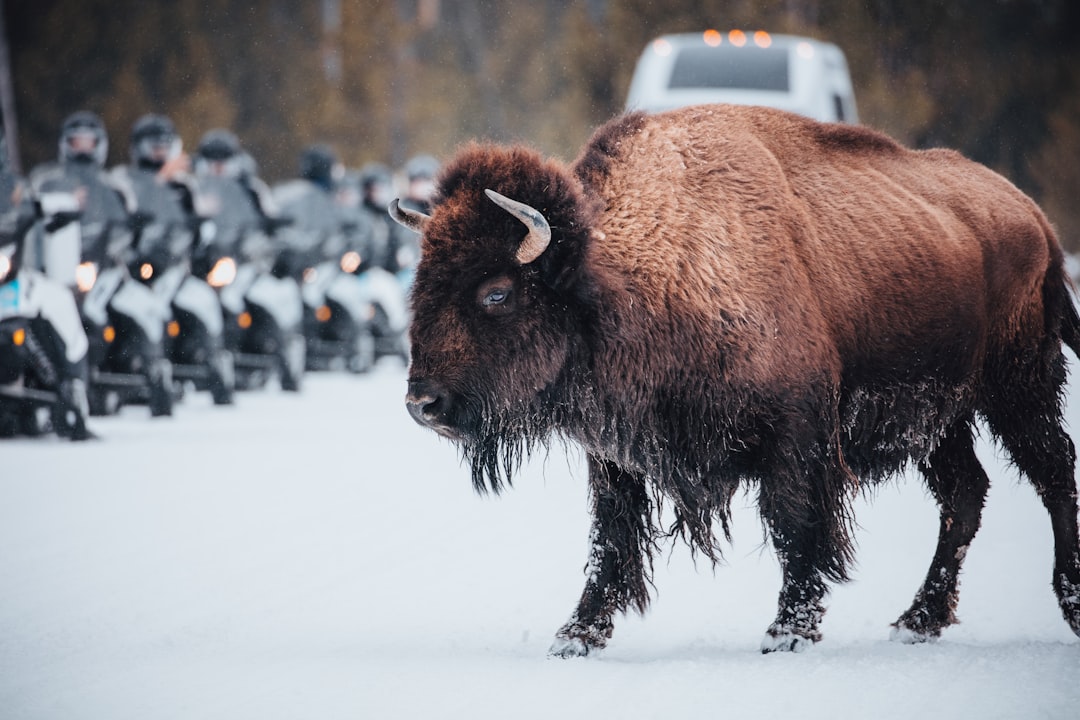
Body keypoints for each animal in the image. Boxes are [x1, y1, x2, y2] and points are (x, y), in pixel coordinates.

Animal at [390, 104, 1080, 656]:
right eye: (420, 283)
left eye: (497, 292)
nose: (423, 403)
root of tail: (1033, 217)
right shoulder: (616, 459)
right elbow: (611, 540)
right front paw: (576, 636)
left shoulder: (796, 440)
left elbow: (794, 528)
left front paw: (788, 633)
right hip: (941, 416)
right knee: (966, 492)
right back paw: (918, 621)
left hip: (1018, 386)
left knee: (1051, 470)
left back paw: (1066, 601)